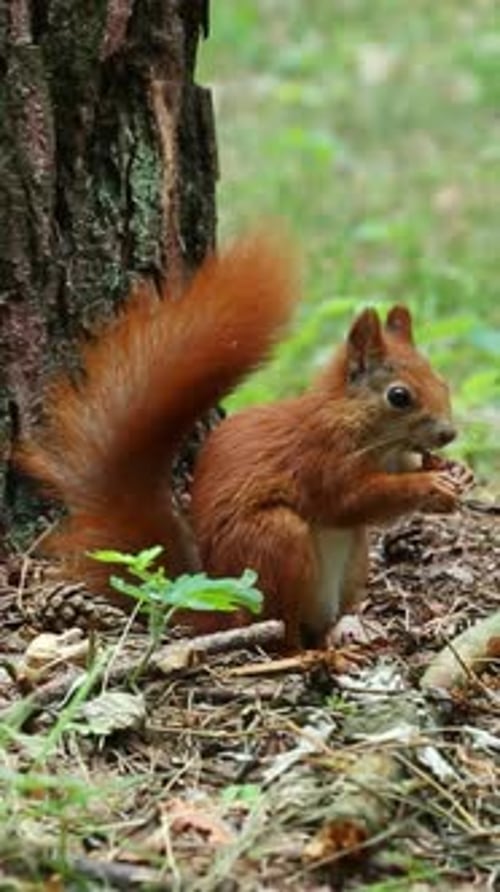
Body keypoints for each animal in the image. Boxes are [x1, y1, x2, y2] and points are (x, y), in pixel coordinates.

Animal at [17, 232, 472, 650]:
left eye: (442, 381)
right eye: (399, 396)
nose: (449, 434)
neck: (371, 437)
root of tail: (223, 611)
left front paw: (459, 473)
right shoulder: (319, 457)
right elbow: (351, 499)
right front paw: (429, 485)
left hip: (352, 561)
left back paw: (342, 635)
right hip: (275, 541)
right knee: (282, 629)